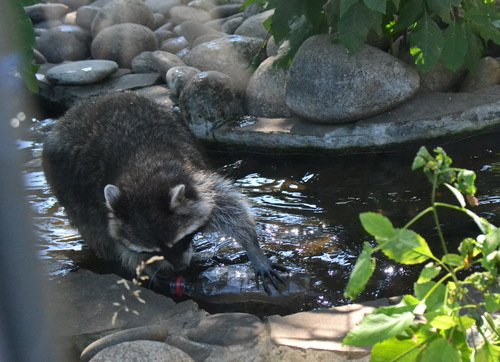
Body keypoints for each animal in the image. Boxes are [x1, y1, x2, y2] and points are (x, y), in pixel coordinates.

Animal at [41, 92, 284, 292]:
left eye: (179, 242)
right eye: (150, 251)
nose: (180, 269)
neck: (141, 174)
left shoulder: (194, 177)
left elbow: (230, 209)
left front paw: (253, 248)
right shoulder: (98, 205)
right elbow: (115, 242)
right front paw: (148, 269)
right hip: (65, 186)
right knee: (93, 233)